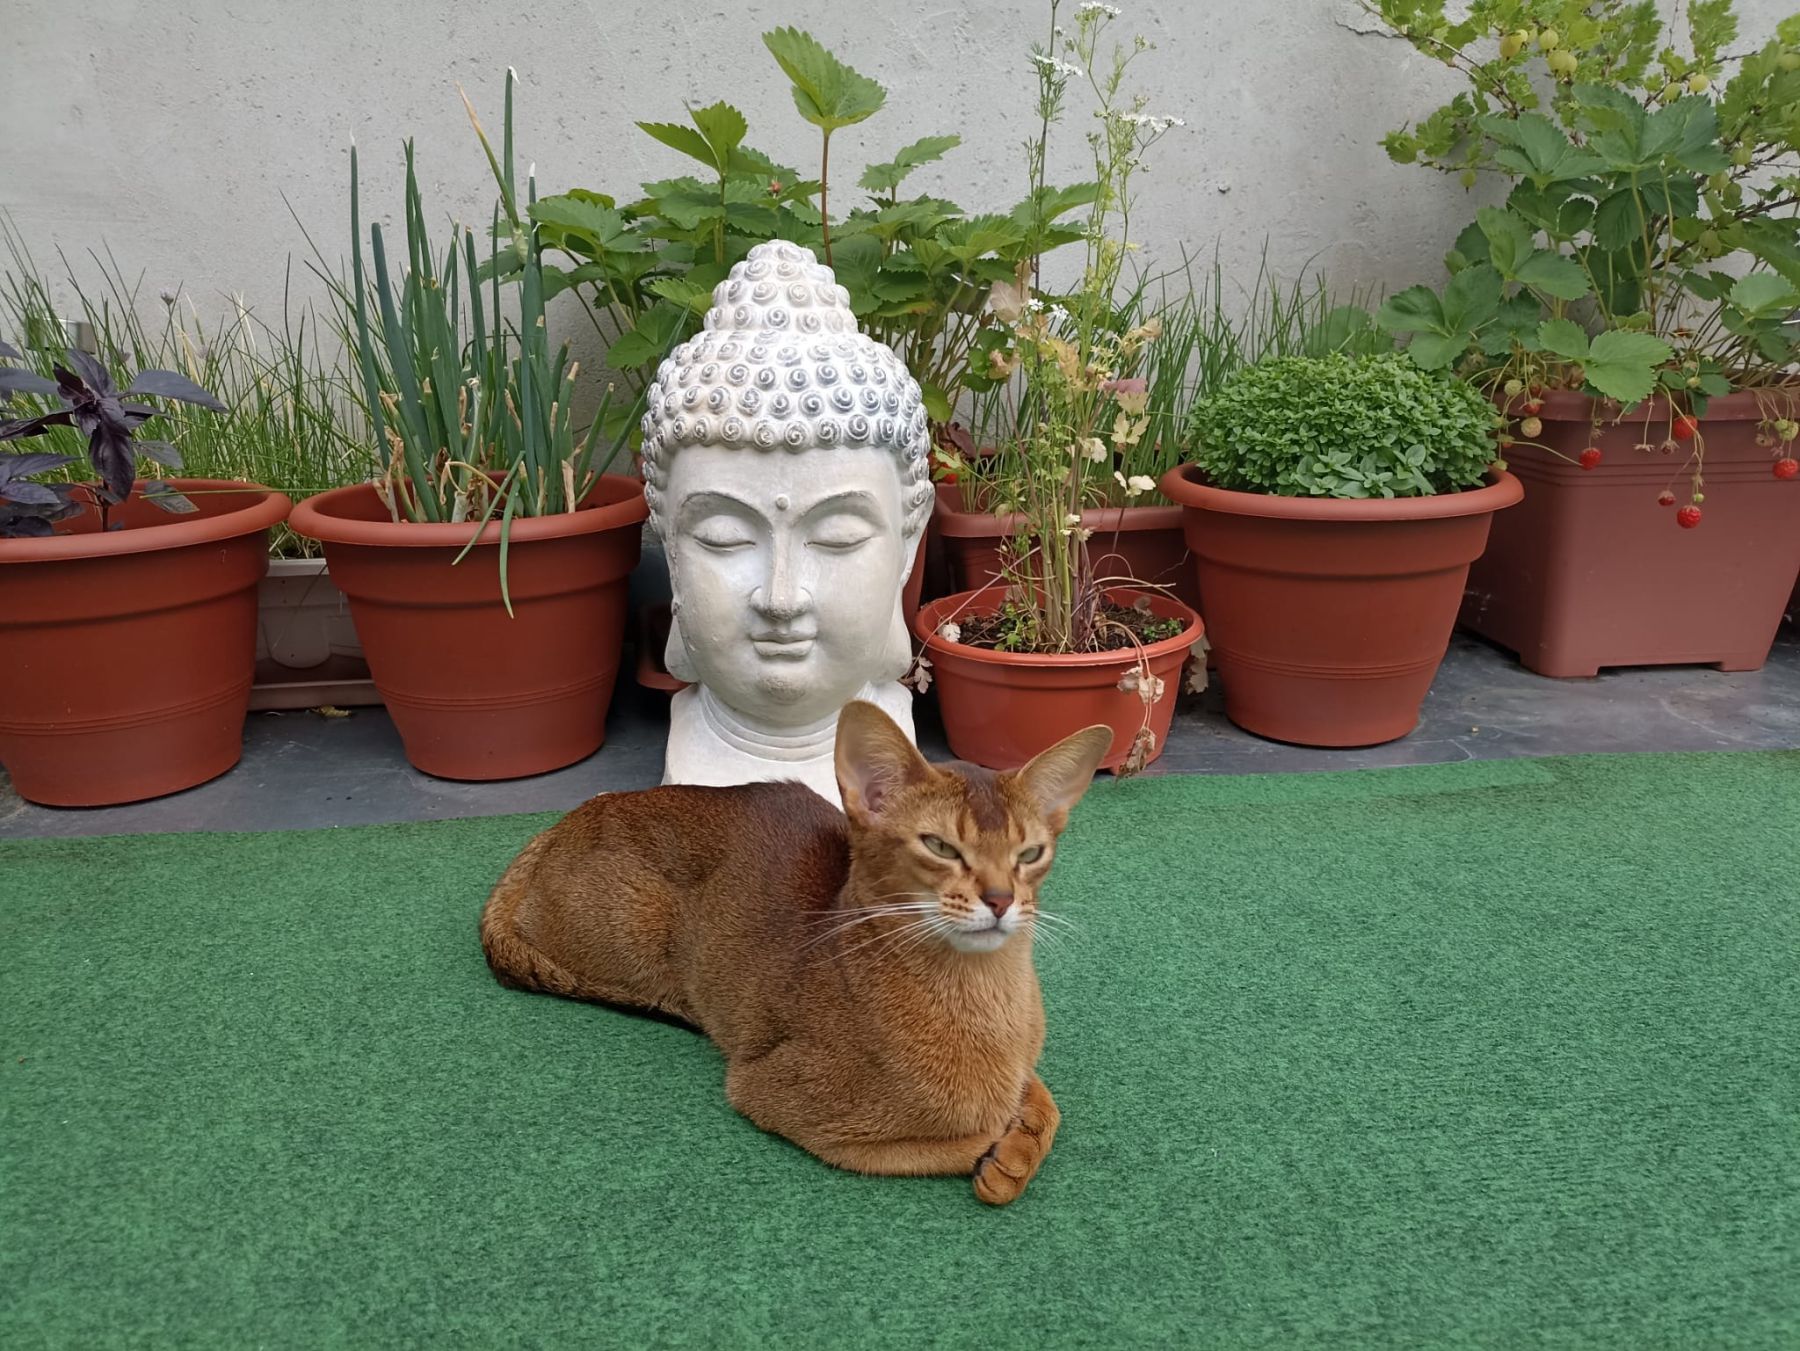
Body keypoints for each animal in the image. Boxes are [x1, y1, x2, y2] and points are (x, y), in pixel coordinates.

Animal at [479, 700, 1111, 1205]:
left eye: (1030, 853)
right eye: (939, 846)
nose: (1002, 900)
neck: (986, 1000)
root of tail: (563, 823)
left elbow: (1044, 1099)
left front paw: (1022, 1136)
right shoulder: (772, 1093)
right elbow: (933, 1141)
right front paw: (997, 1150)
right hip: (638, 932)